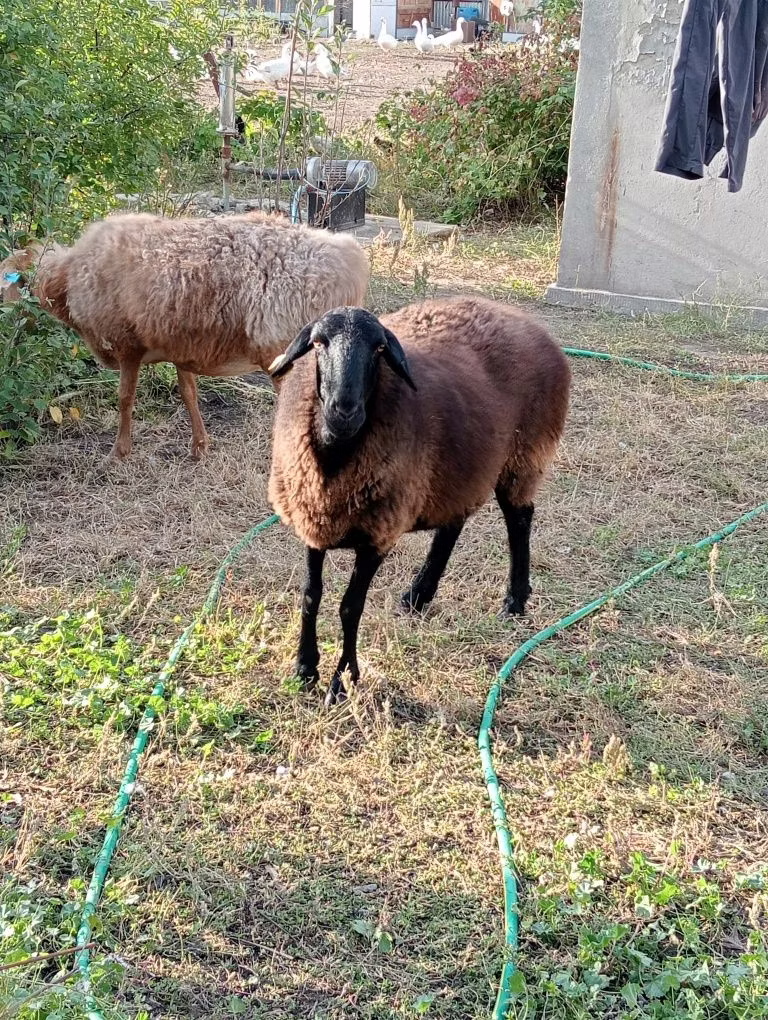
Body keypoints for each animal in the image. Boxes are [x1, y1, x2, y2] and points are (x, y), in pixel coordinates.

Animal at [0, 211, 370, 460]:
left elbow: (125, 398)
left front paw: (119, 452)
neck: (69, 278)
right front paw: (199, 447)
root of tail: (349, 259)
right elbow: (188, 394)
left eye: (8, 280)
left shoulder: (127, 344)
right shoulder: (182, 347)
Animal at [267, 296, 571, 706]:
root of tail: (529, 322)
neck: (334, 463)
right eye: (317, 343)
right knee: (452, 525)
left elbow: (350, 607)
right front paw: (304, 668)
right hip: (459, 468)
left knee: (519, 519)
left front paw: (342, 682)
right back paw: (418, 595)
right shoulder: (314, 518)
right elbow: (311, 595)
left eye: (379, 348)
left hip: (524, 456)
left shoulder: (377, 533)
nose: (344, 411)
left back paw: (515, 600)